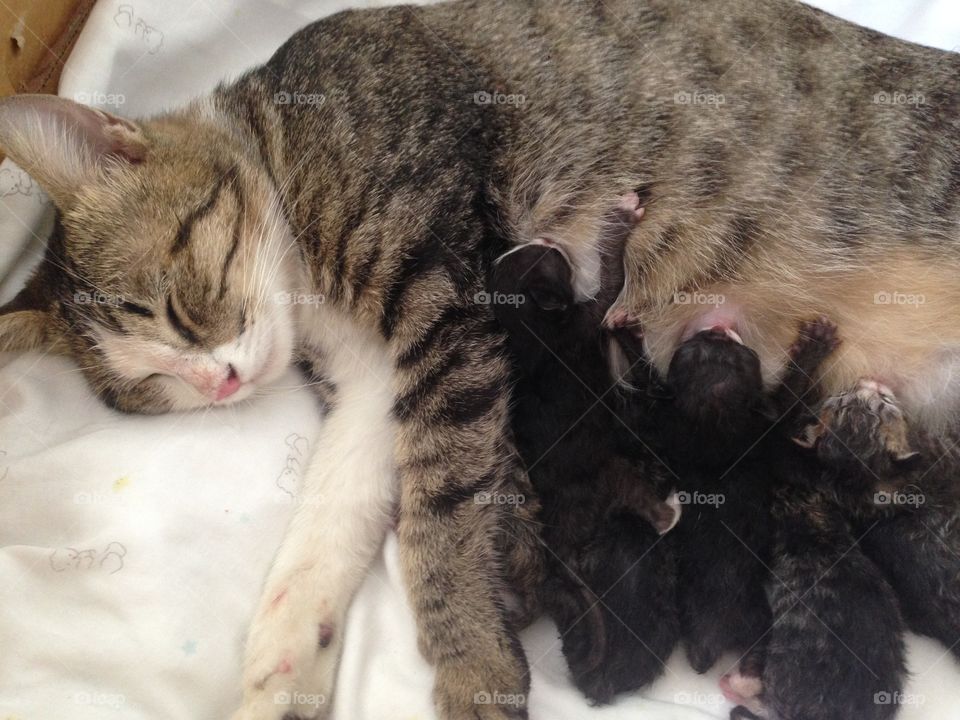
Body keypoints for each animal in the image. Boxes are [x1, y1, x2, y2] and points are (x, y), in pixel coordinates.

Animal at [1, 1, 960, 720]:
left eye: (177, 304)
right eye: (154, 390)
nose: (219, 381)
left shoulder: (445, 302)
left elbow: (444, 514)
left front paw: (470, 668)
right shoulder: (375, 382)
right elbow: (330, 516)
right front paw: (283, 657)